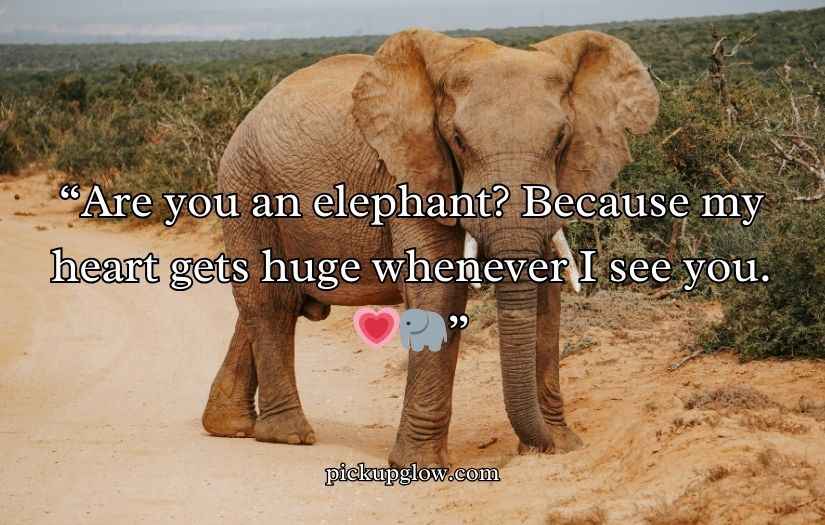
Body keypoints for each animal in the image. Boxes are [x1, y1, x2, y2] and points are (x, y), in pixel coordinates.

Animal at [201, 28, 659, 467]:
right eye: (457, 139)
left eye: (561, 138)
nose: (540, 446)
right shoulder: (410, 172)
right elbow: (439, 292)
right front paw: (419, 466)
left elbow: (547, 295)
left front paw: (563, 446)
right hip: (245, 183)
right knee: (270, 302)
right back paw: (289, 435)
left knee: (275, 305)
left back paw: (229, 426)